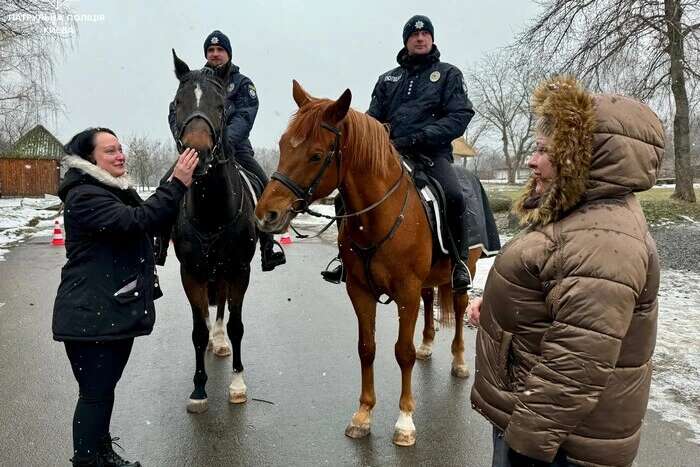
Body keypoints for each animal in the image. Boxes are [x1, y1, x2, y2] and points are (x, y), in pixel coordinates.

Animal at [254, 82, 478, 448]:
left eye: (317, 155)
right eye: (284, 145)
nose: (266, 215)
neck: (379, 216)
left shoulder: (406, 293)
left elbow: (403, 352)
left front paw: (405, 421)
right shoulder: (359, 290)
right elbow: (366, 349)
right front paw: (363, 415)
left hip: (462, 272)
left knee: (458, 311)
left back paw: (459, 361)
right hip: (426, 282)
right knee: (431, 301)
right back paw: (428, 345)